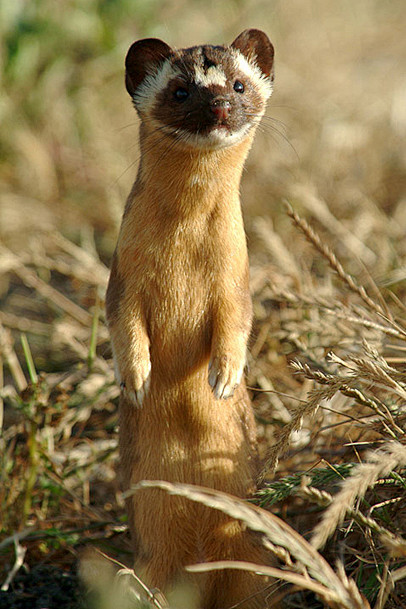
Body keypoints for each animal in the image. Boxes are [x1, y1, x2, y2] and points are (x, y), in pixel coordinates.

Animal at [106, 29, 274, 608]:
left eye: (239, 83)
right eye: (180, 90)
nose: (220, 104)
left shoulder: (237, 276)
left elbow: (237, 324)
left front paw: (223, 377)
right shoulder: (122, 276)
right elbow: (124, 324)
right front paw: (137, 377)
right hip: (152, 541)